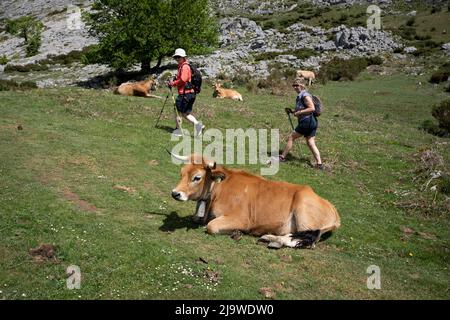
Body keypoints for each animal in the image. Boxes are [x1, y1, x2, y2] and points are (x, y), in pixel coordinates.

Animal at [169, 153, 342, 250]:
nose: (175, 193)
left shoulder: (240, 219)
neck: (219, 189)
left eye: (197, 177)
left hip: (304, 214)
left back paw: (272, 239)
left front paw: (238, 232)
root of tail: (333, 209)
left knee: (307, 241)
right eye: (181, 173)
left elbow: (211, 227)